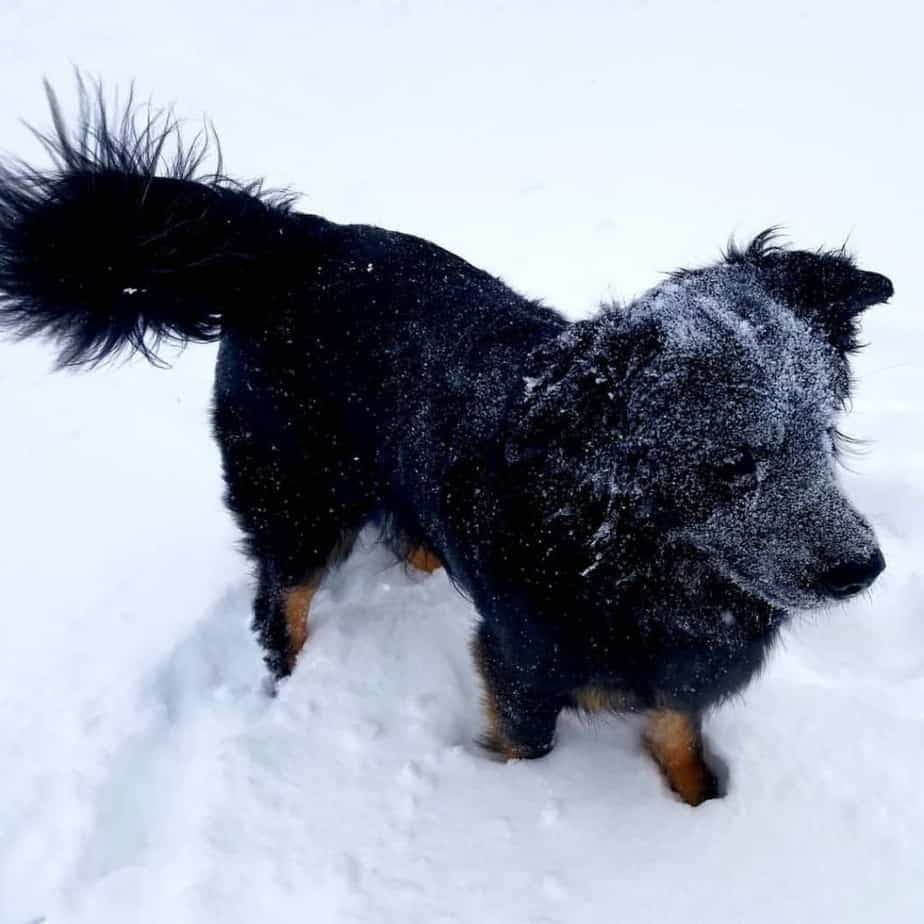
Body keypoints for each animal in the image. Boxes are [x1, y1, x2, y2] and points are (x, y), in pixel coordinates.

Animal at [0, 88, 896, 808]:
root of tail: (298, 240)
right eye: (731, 463)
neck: (619, 552)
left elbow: (681, 738)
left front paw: (703, 808)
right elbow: (527, 746)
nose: (865, 568)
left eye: (824, 433)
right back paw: (293, 682)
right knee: (279, 605)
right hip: (296, 498)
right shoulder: (521, 661)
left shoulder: (678, 665)